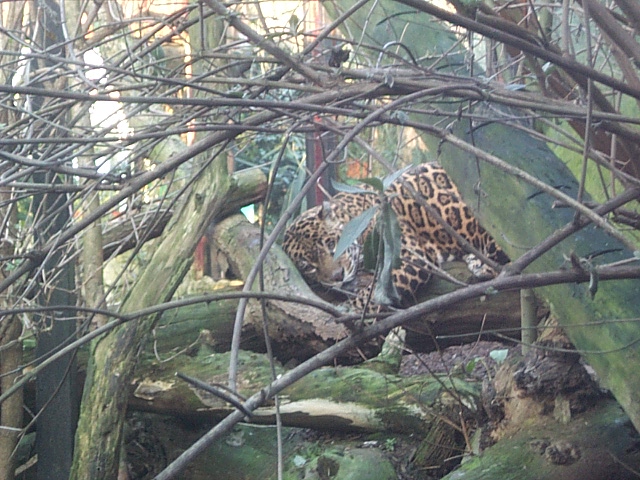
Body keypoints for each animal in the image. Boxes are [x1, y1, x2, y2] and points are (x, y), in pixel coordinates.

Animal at [282, 163, 509, 309]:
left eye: (331, 244)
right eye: (308, 266)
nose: (338, 276)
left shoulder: (410, 257)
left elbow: (374, 295)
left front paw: (350, 313)